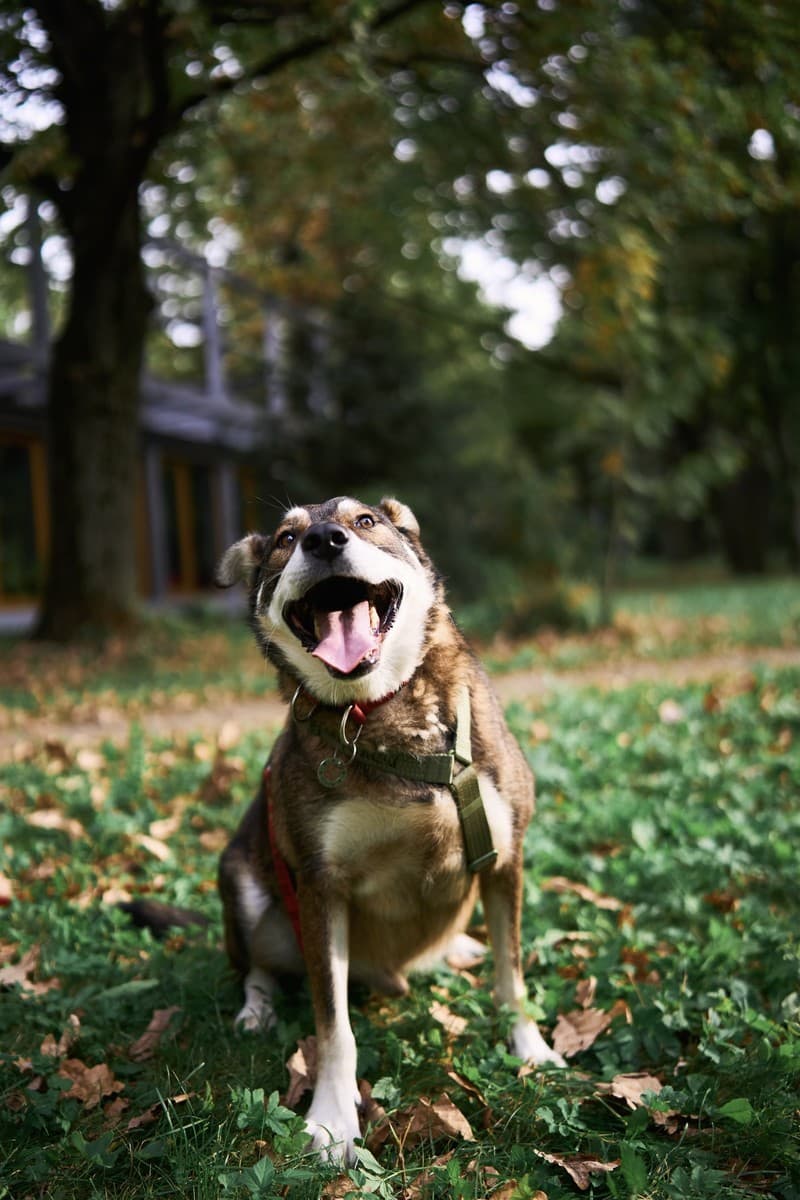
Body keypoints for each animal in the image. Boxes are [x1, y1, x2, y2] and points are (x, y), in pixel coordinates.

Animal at [216, 495, 564, 1165]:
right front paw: (332, 1118)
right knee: (255, 967)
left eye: (365, 522)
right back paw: (255, 1011)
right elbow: (334, 1028)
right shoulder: (319, 886)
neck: (382, 712)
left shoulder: (505, 857)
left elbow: (512, 979)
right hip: (240, 876)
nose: (324, 540)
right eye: (285, 538)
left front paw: (532, 1049)